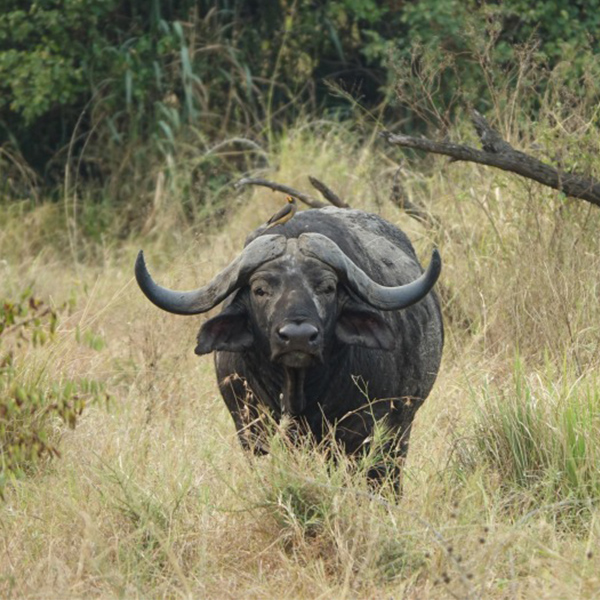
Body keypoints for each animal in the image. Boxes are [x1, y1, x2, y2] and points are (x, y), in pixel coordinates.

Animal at [137, 209, 446, 486]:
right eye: (260, 290)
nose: (298, 337)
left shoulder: (364, 433)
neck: (298, 392)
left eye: (328, 288)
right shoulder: (251, 431)